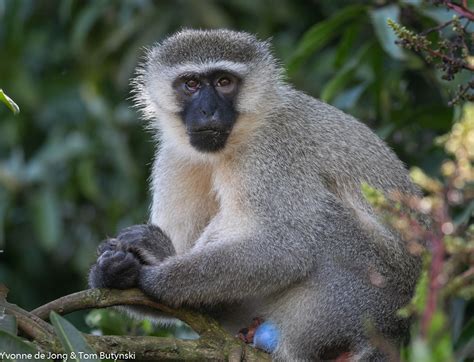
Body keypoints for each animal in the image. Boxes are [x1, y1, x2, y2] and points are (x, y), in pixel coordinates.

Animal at [90, 29, 422, 360]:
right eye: (191, 83)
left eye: (224, 81)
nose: (208, 110)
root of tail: (394, 329)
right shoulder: (175, 158)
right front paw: (112, 271)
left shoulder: (270, 150)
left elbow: (288, 248)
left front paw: (151, 277)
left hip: (356, 301)